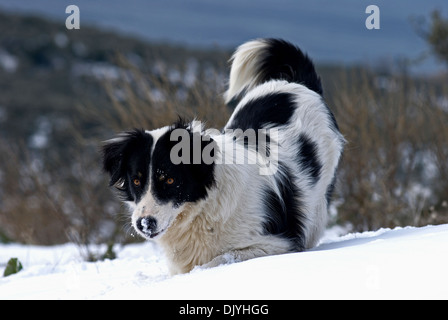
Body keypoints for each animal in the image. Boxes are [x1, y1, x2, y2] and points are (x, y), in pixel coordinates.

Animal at [102, 38, 346, 276]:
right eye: (136, 181)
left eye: (170, 179)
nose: (144, 224)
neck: (203, 206)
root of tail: (295, 83)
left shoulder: (277, 243)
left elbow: (219, 260)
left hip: (316, 204)